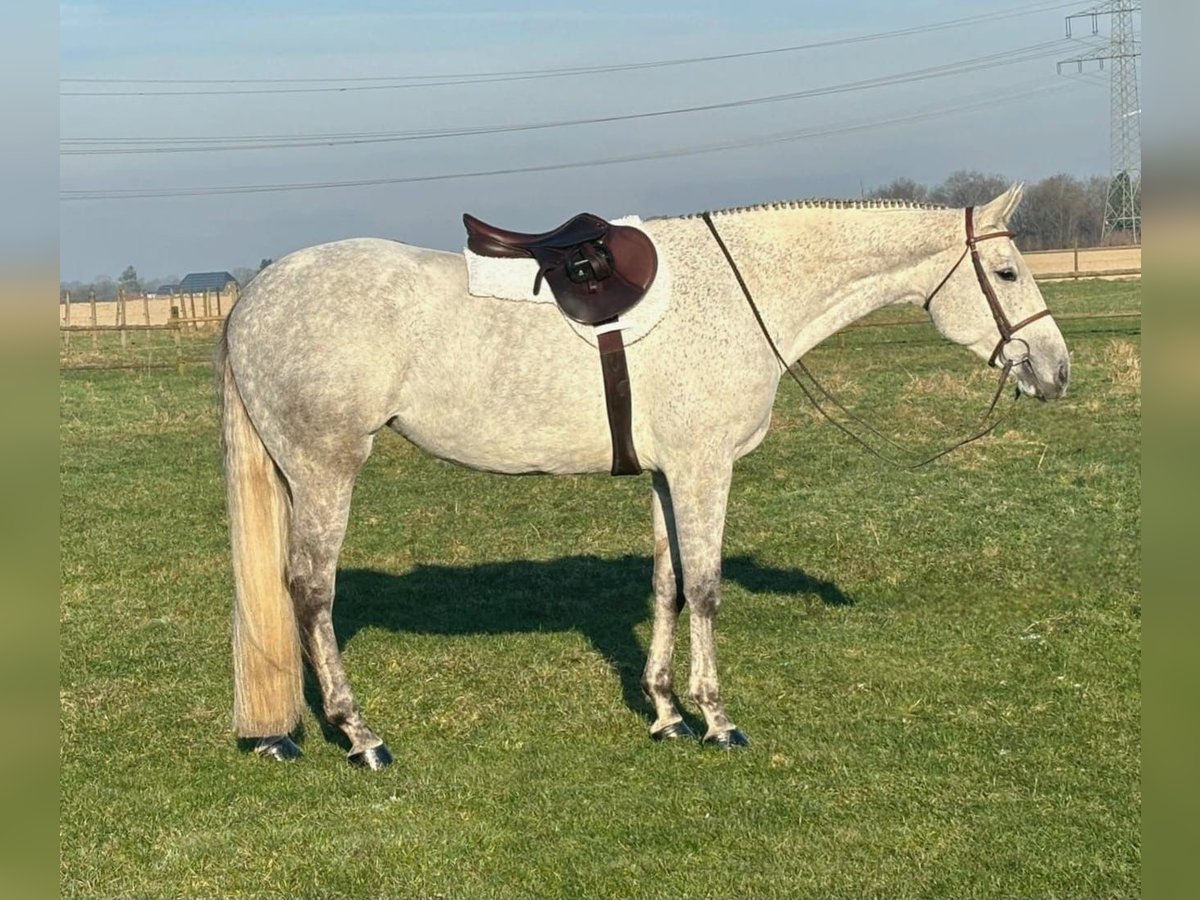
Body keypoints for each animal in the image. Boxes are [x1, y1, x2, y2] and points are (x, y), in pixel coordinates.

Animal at [216, 184, 1070, 768]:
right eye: (1006, 272)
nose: (1057, 371)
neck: (741, 291)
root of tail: (254, 296)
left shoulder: (668, 473)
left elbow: (667, 584)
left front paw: (665, 713)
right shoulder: (704, 469)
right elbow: (708, 588)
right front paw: (718, 720)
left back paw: (285, 734)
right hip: (326, 469)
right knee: (311, 591)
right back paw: (361, 736)